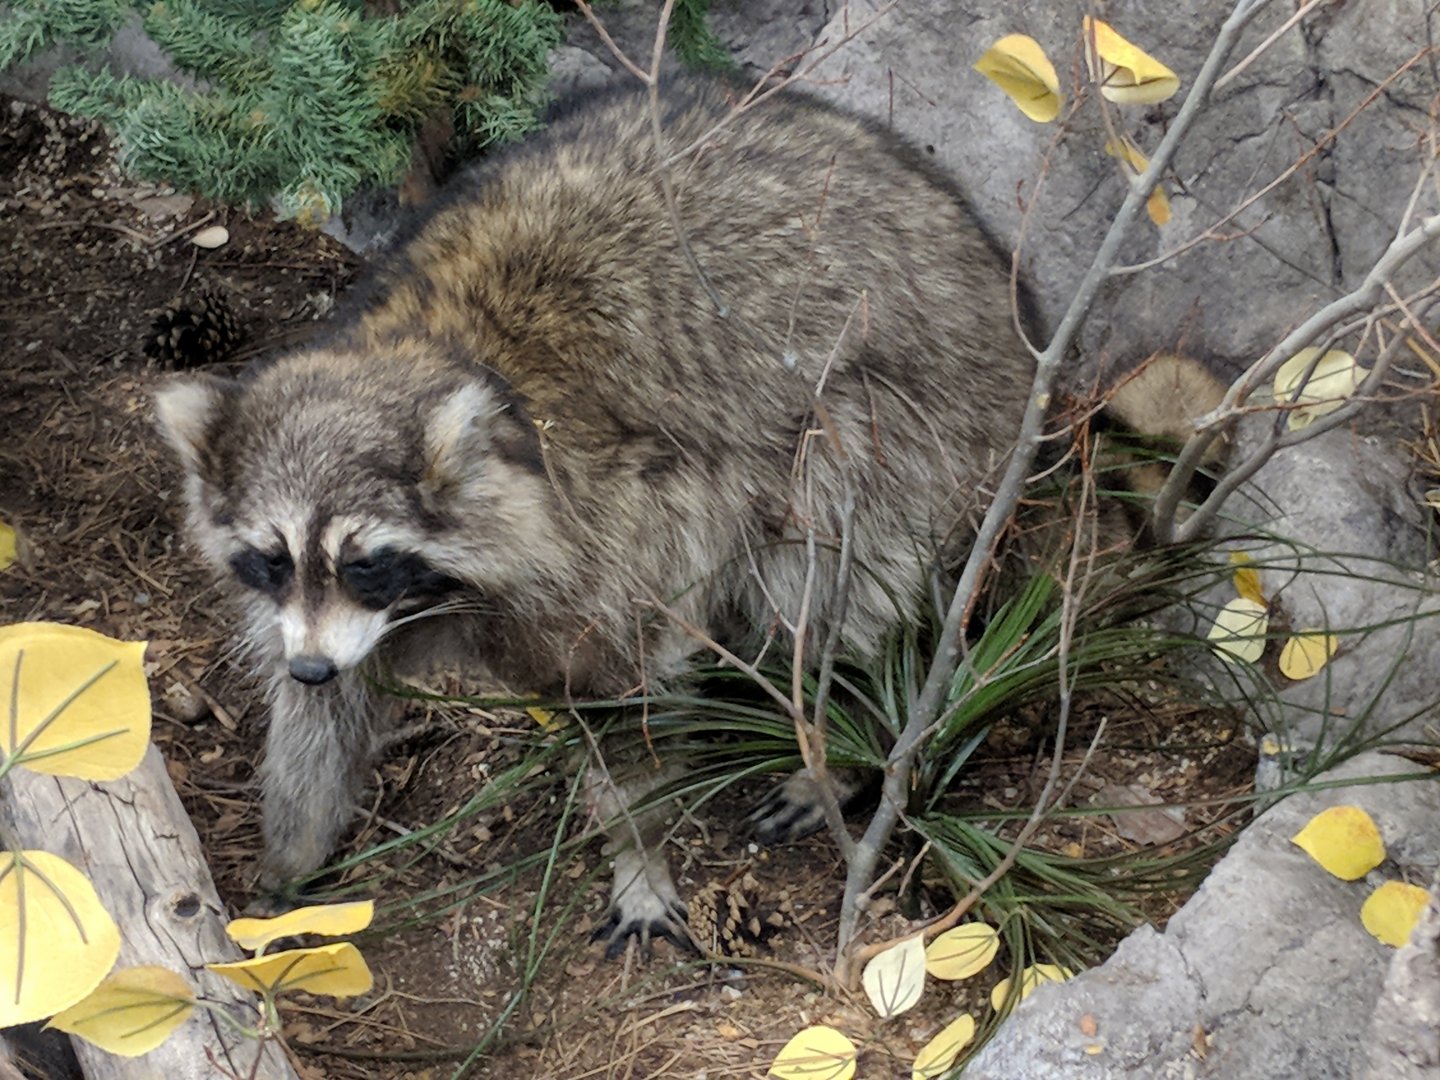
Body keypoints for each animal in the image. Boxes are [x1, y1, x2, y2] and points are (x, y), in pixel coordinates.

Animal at [155, 76, 1042, 950]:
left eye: (366, 561)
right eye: (270, 558)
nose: (311, 665)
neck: (427, 346)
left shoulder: (620, 532)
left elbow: (628, 696)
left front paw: (639, 853)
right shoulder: (327, 616)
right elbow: (326, 711)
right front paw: (292, 851)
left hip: (921, 431)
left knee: (830, 560)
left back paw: (856, 731)